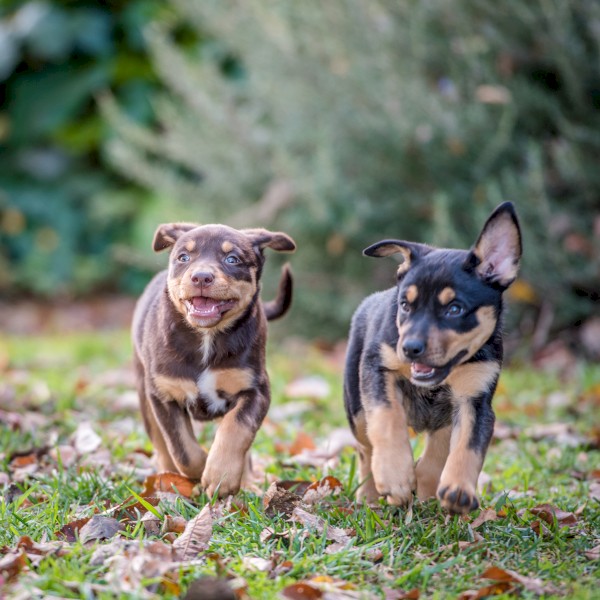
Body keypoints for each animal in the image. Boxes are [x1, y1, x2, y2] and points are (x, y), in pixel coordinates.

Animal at [135, 221, 296, 496]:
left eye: (232, 259)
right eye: (184, 257)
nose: (201, 277)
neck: (207, 338)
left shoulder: (255, 390)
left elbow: (237, 430)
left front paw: (220, 476)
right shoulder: (163, 394)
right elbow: (181, 448)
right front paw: (200, 470)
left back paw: (248, 483)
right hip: (145, 396)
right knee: (161, 444)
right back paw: (166, 477)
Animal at [344, 204, 524, 512]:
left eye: (455, 309)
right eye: (405, 305)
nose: (410, 348)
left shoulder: (475, 400)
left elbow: (467, 446)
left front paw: (458, 489)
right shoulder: (377, 369)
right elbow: (387, 418)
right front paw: (395, 476)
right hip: (355, 406)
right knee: (365, 448)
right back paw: (369, 494)